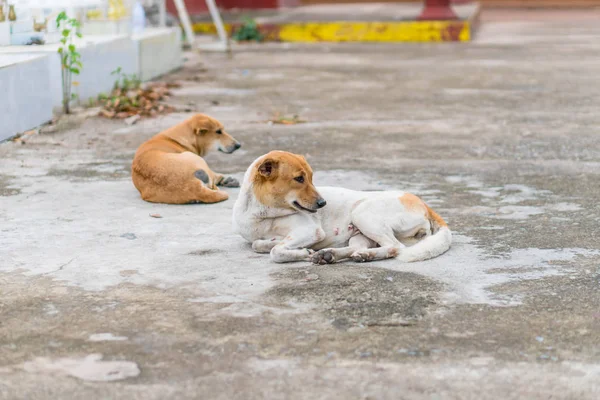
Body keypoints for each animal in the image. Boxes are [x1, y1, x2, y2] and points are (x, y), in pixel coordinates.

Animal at [232, 152, 452, 264]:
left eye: (311, 177)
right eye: (299, 179)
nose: (323, 204)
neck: (261, 213)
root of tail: (425, 204)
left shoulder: (311, 230)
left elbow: (275, 251)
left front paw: (301, 253)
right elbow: (259, 244)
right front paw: (302, 249)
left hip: (362, 213)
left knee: (396, 247)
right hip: (360, 233)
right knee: (361, 248)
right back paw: (334, 255)